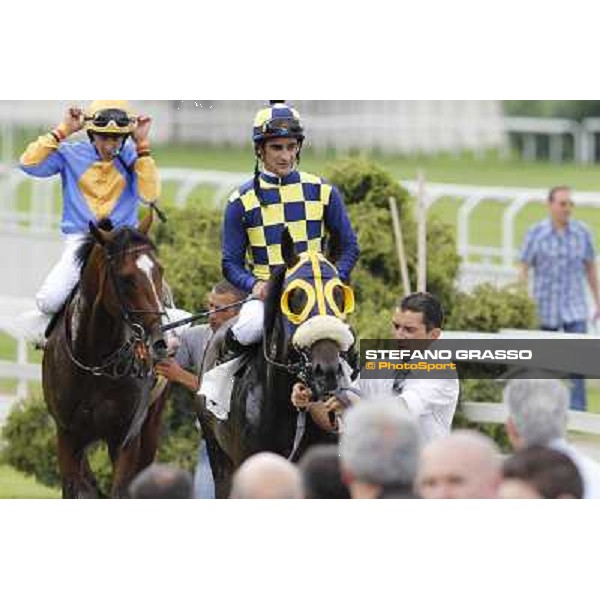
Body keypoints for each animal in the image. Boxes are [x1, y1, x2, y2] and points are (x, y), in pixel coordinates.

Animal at [42, 213, 170, 500]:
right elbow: (73, 486)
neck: (95, 362)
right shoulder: (68, 435)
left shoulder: (125, 438)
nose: (160, 342)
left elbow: (121, 490)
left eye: (159, 270)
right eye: (125, 278)